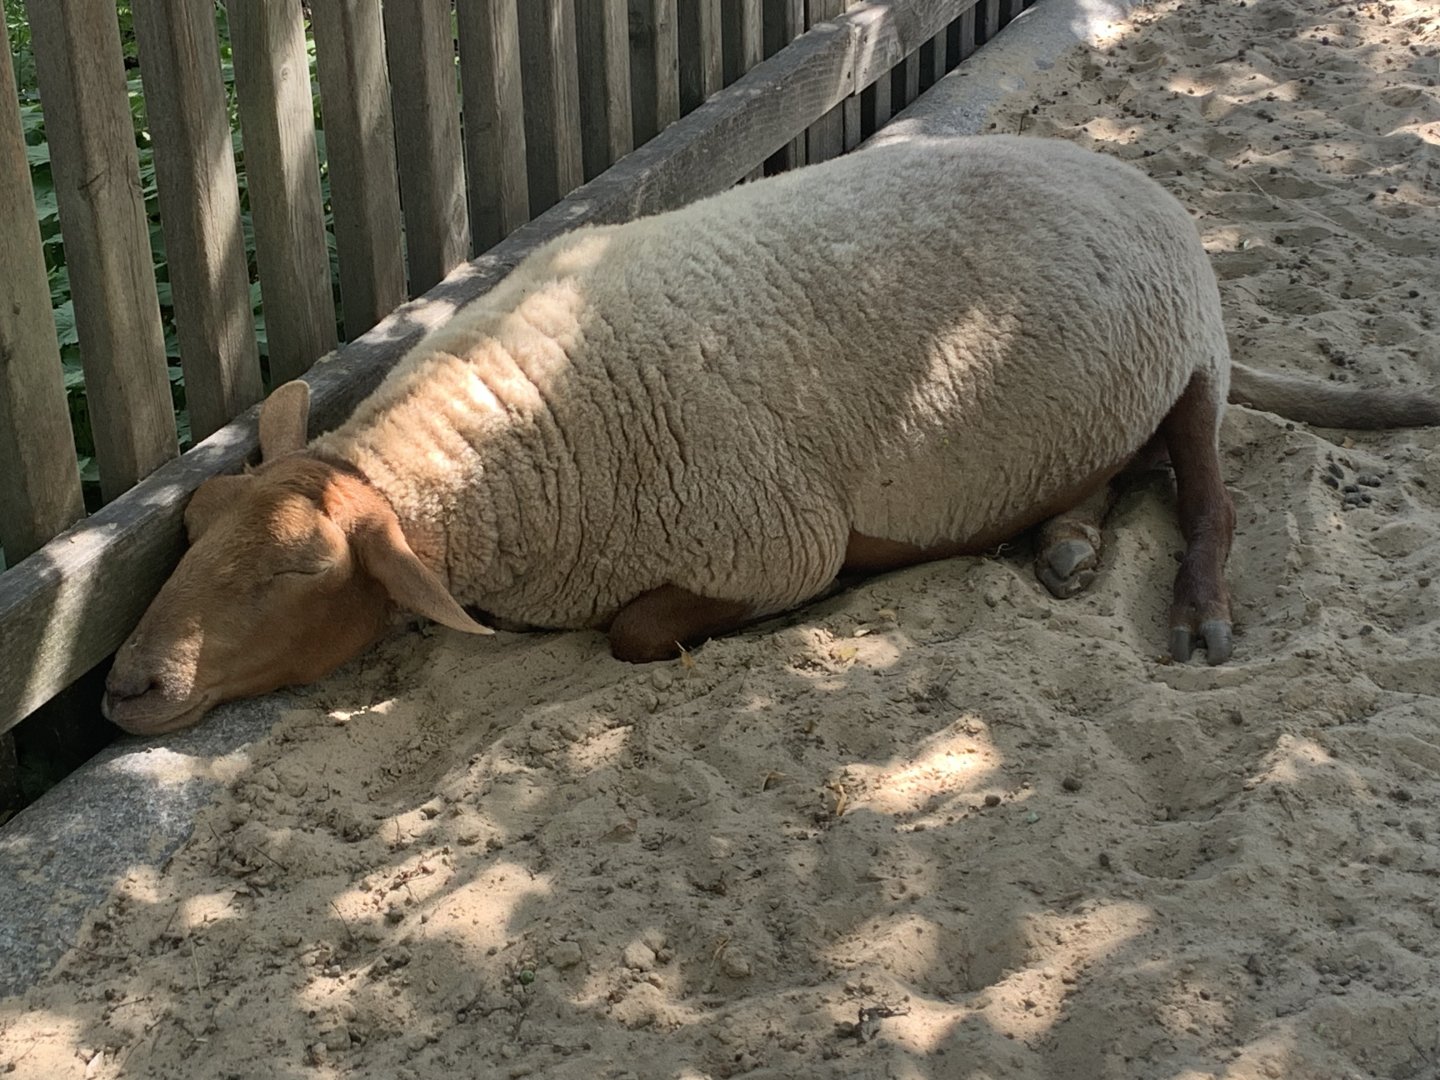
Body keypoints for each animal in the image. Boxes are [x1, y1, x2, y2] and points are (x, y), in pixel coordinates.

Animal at [101, 135, 1440, 735]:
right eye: (189, 533)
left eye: (297, 568)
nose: (125, 687)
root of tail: (1121, 172)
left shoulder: (766, 545)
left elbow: (641, 634)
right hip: (1102, 391)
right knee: (1121, 467)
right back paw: (1061, 537)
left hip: (1188, 354)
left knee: (1207, 488)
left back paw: (1195, 609)